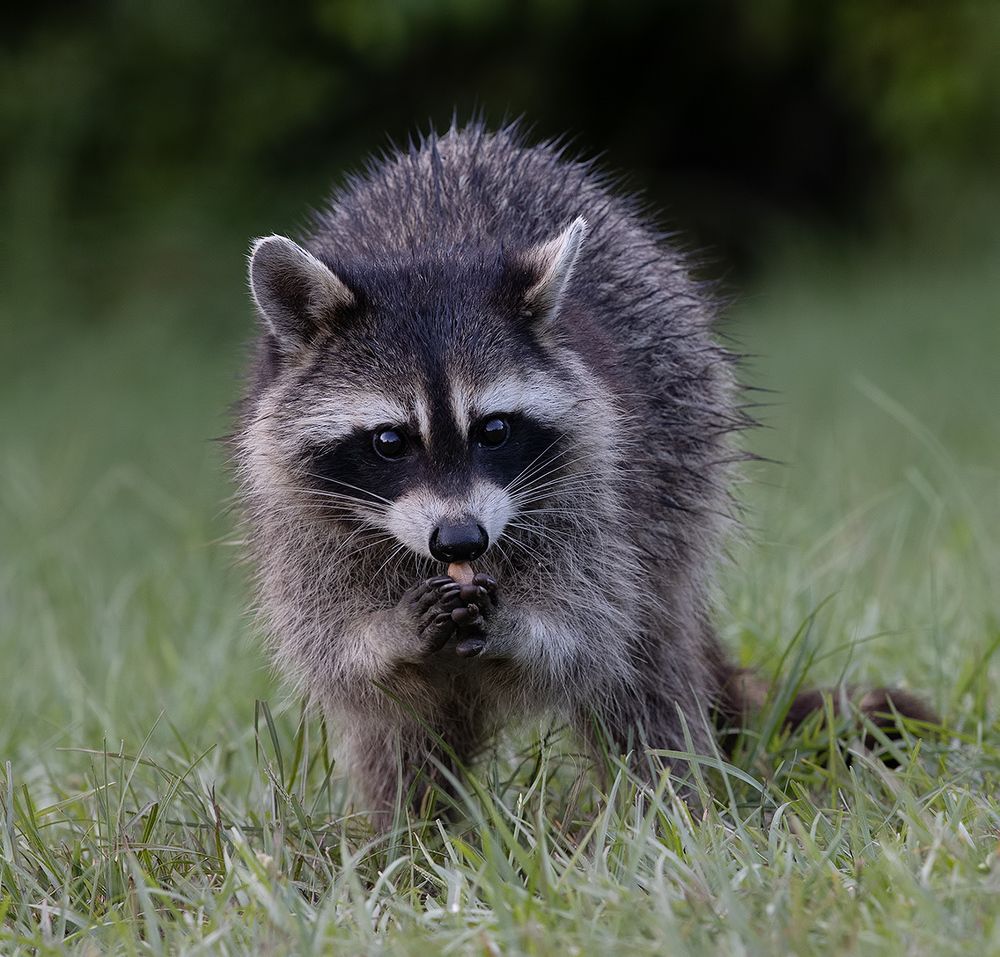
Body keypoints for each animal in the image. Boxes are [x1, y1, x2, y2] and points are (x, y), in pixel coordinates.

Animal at [234, 123, 935, 825]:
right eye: (389, 441)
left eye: (493, 430)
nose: (461, 540)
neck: (429, 255)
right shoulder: (299, 518)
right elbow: (332, 647)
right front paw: (389, 632)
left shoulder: (600, 484)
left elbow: (592, 630)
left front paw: (523, 626)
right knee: (399, 733)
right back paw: (407, 833)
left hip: (682, 449)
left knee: (646, 664)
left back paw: (670, 808)